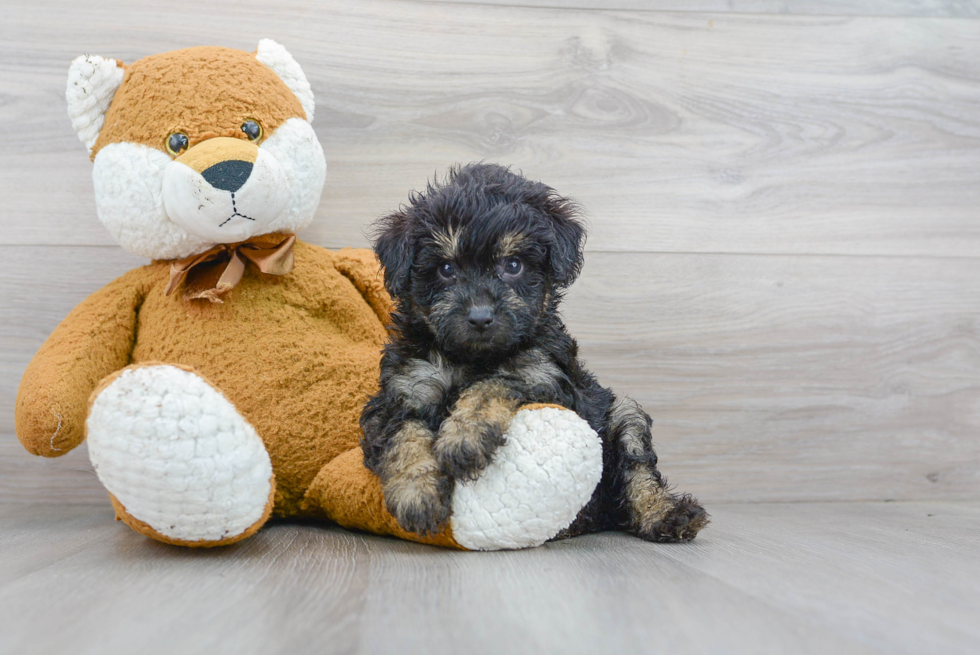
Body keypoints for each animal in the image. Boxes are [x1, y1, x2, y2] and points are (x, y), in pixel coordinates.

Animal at [364, 164, 708, 544]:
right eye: (446, 269)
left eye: (513, 265)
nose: (480, 317)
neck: (472, 358)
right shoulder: (403, 389)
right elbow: (404, 435)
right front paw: (416, 494)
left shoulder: (545, 377)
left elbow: (492, 383)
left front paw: (464, 436)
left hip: (623, 413)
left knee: (638, 472)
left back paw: (668, 515)